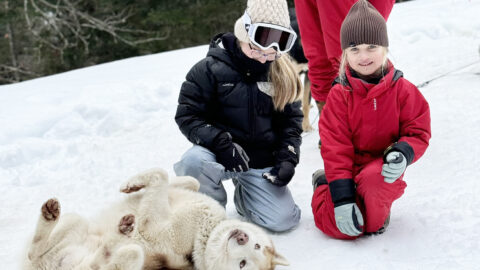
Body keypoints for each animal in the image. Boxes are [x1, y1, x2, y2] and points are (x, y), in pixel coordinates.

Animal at [22, 169, 288, 270]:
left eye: (243, 264)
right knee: (36, 250)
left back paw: (120, 233)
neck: (209, 231)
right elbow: (187, 180)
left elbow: (160, 176)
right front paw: (132, 185)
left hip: (125, 259)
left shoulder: (153, 223)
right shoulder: (181, 192)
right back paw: (50, 214)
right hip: (76, 222)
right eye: (257, 245)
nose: (241, 236)